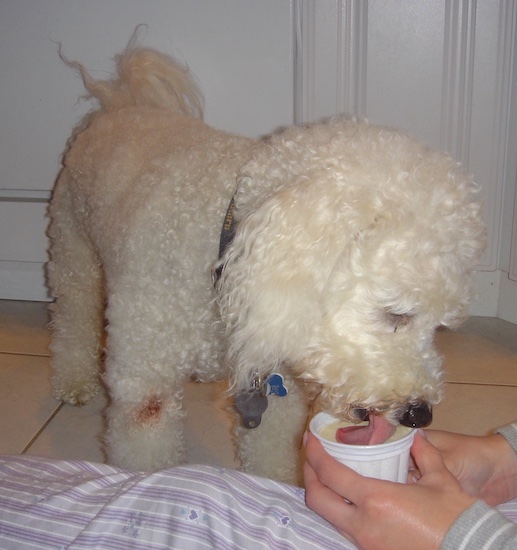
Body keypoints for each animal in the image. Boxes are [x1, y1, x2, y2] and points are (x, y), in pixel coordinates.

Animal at [47, 48, 484, 488]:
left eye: (440, 326)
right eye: (397, 314)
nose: (421, 413)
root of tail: (120, 104)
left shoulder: (276, 388)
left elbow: (270, 448)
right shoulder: (146, 388)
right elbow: (146, 448)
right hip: (72, 251)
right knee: (73, 318)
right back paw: (73, 380)